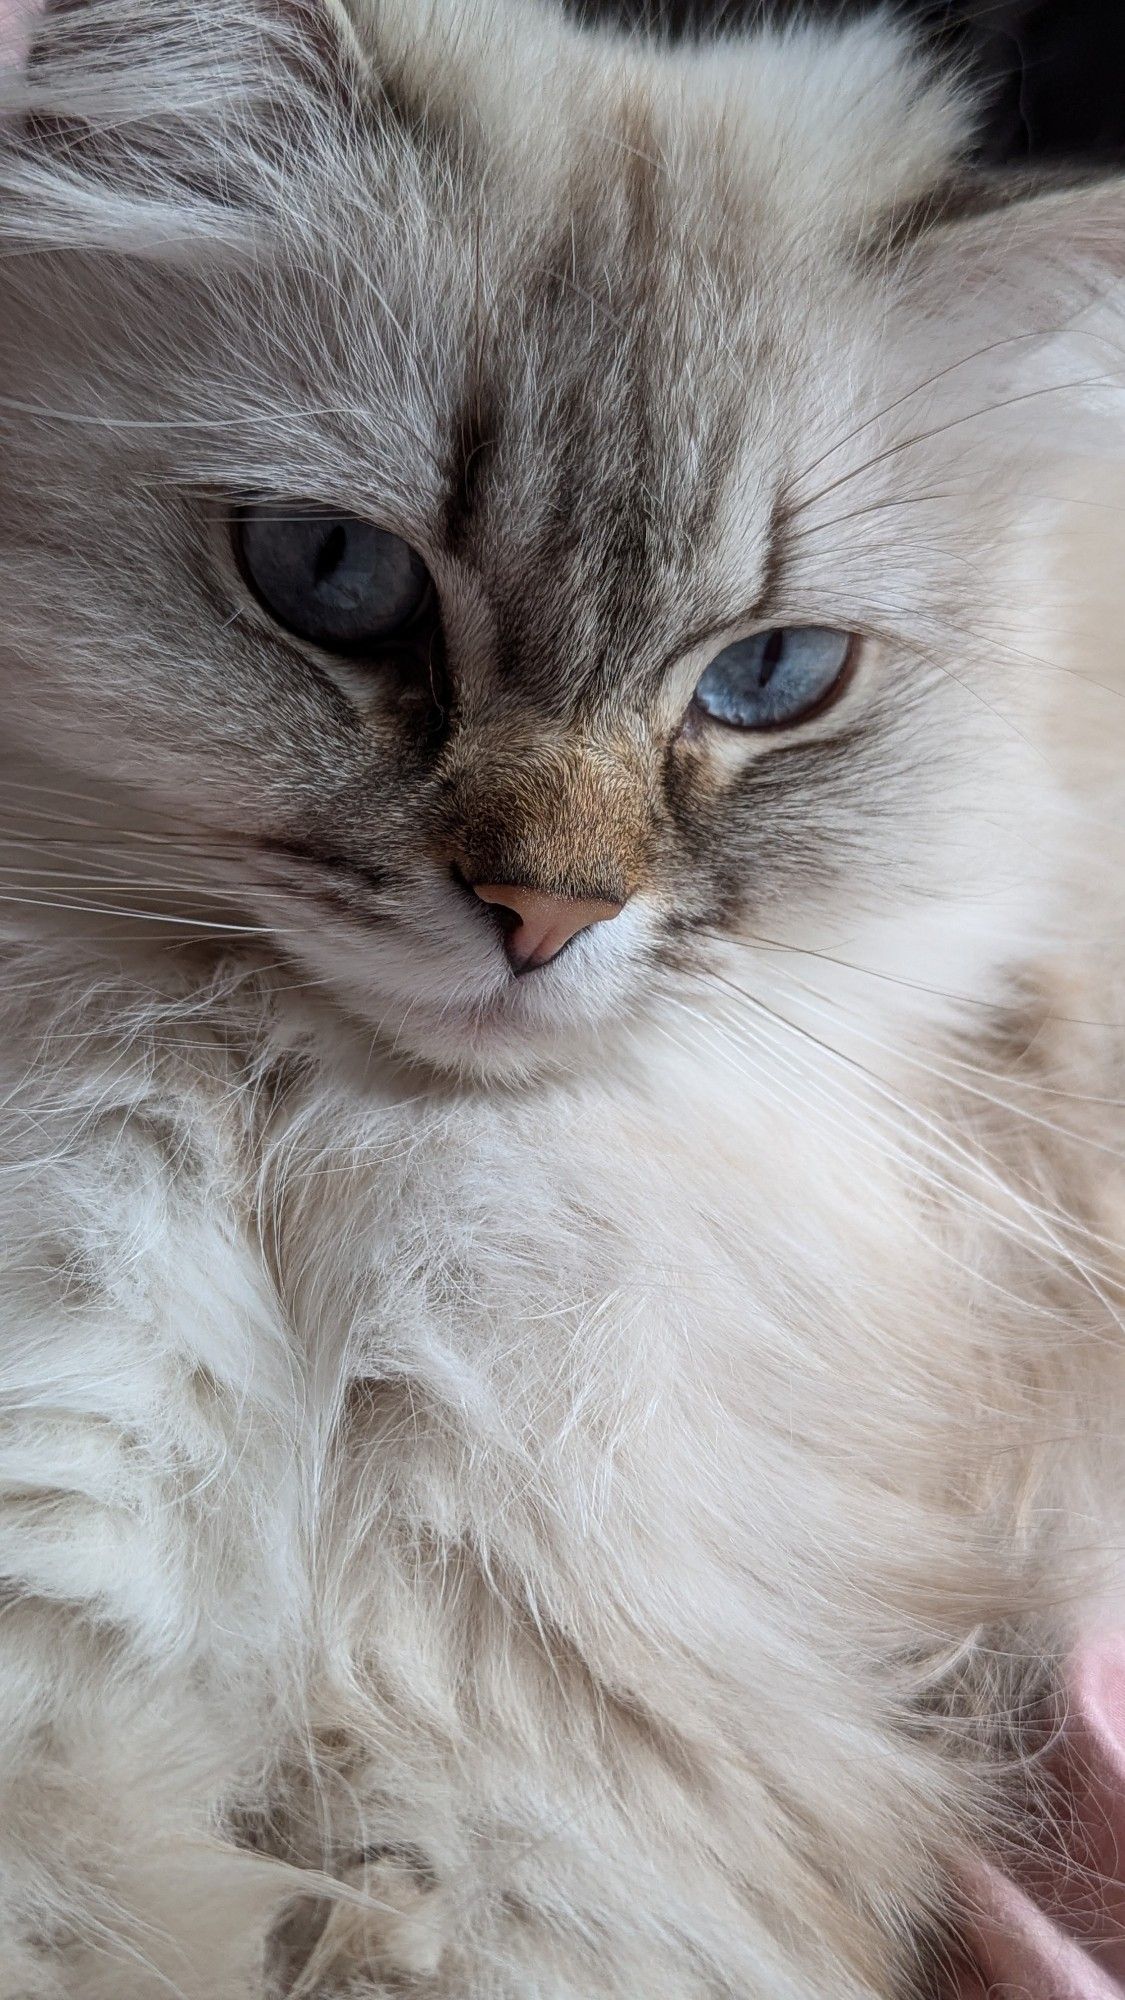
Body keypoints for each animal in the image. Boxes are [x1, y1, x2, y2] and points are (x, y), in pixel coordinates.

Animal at [0, 0, 1112, 1992]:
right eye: (332, 576)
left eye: (773, 678)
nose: (544, 913)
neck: (349, 1179)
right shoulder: (56, 1648)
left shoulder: (537, 1780)